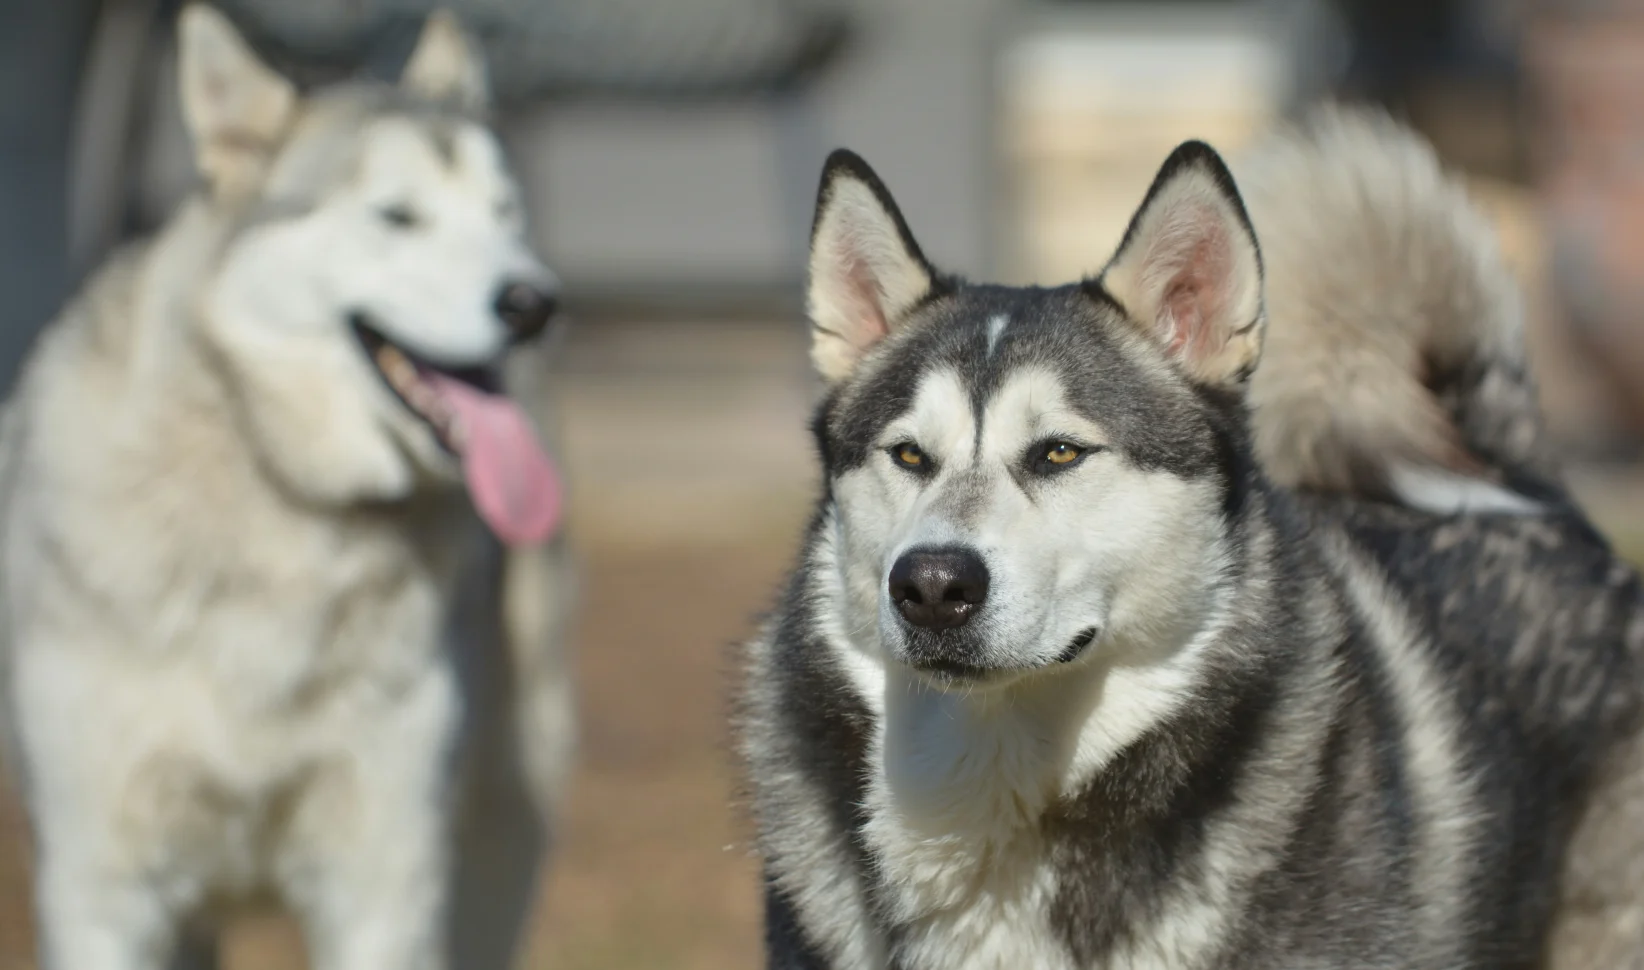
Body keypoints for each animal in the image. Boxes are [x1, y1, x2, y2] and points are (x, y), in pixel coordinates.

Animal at [0, 7, 578, 970]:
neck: (283, 502)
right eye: (397, 217)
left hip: (503, 828)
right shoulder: (105, 888)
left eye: (505, 216)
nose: (534, 302)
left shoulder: (387, 877)